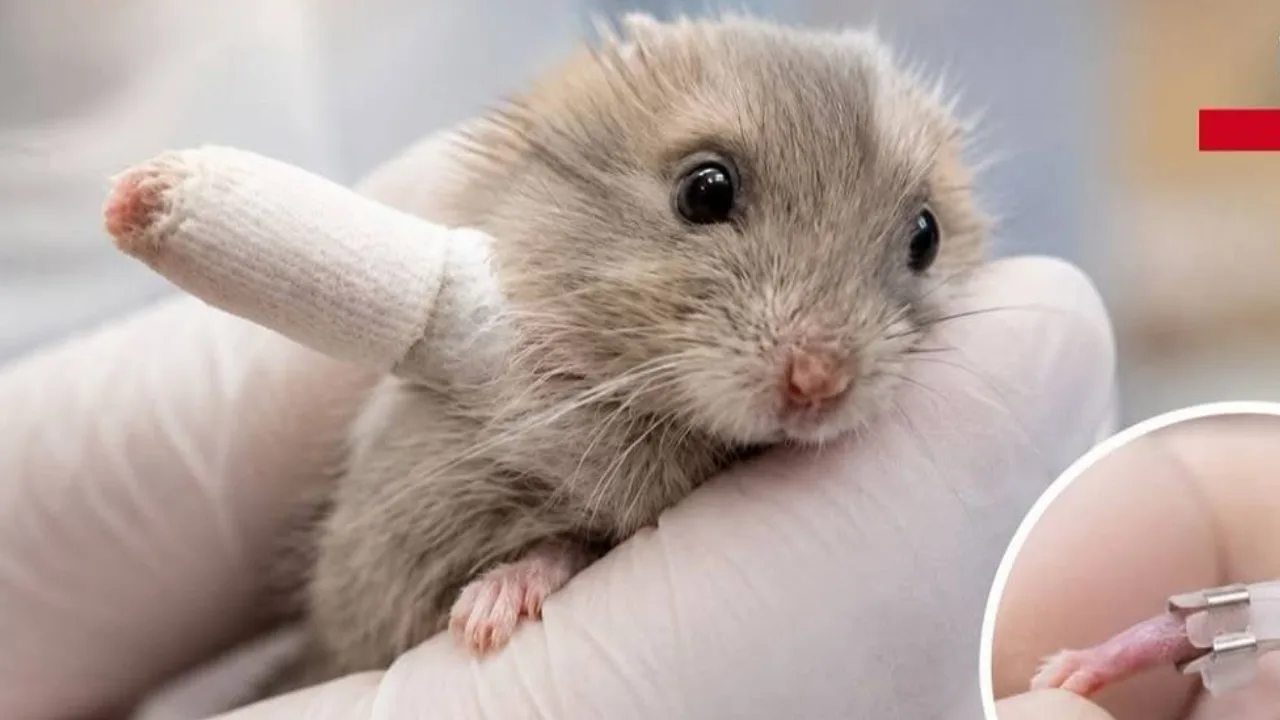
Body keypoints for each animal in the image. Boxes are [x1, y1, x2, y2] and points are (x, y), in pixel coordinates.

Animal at [262, 12, 991, 695]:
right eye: (705, 189)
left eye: (926, 235)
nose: (818, 383)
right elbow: (550, 544)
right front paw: (483, 621)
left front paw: (486, 613)